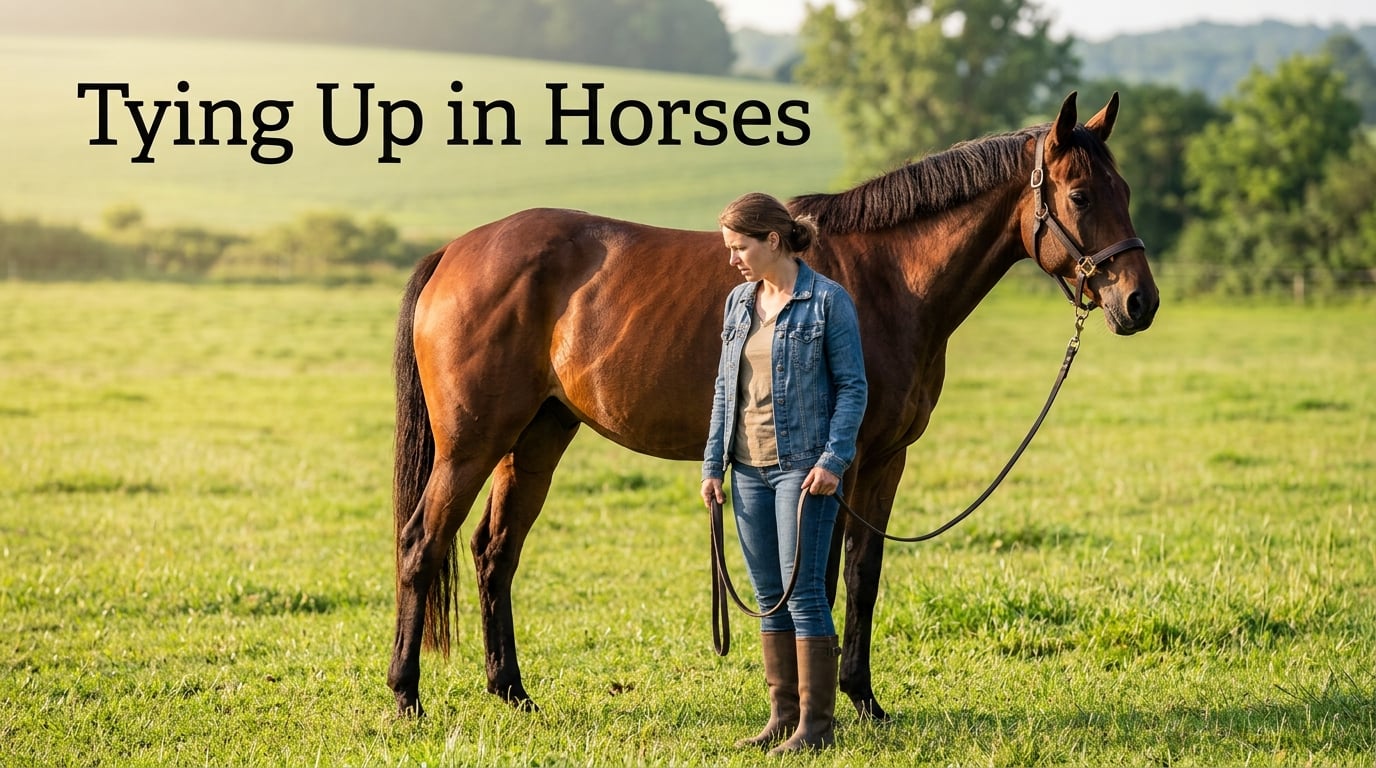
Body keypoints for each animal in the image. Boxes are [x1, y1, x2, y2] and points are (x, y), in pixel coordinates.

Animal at [387, 91, 1159, 719]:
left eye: (1125, 188)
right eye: (1081, 196)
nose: (1139, 302)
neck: (886, 278)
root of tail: (454, 251)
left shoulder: (884, 460)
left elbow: (863, 573)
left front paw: (865, 699)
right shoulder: (838, 462)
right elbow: (822, 571)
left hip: (537, 438)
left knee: (494, 553)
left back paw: (512, 692)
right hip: (470, 445)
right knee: (422, 544)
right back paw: (406, 695)